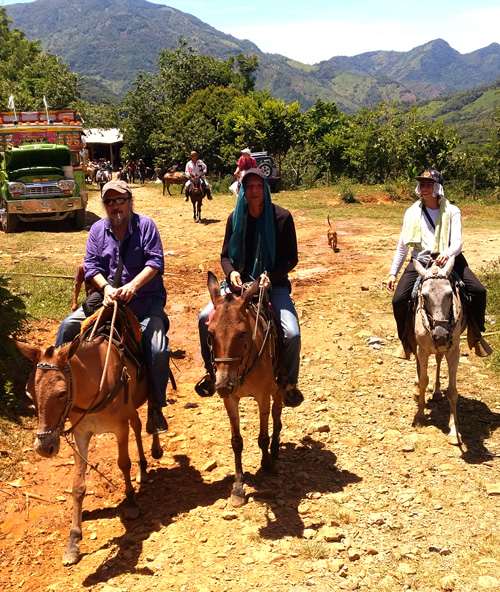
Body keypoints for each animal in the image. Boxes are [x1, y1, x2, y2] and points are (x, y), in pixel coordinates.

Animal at [14, 308, 161, 568]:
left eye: (61, 393)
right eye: (29, 393)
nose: (43, 446)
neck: (96, 384)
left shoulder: (119, 428)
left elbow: (123, 463)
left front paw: (131, 503)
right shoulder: (81, 433)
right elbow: (78, 485)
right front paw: (73, 541)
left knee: (150, 419)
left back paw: (155, 448)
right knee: (137, 423)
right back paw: (143, 468)